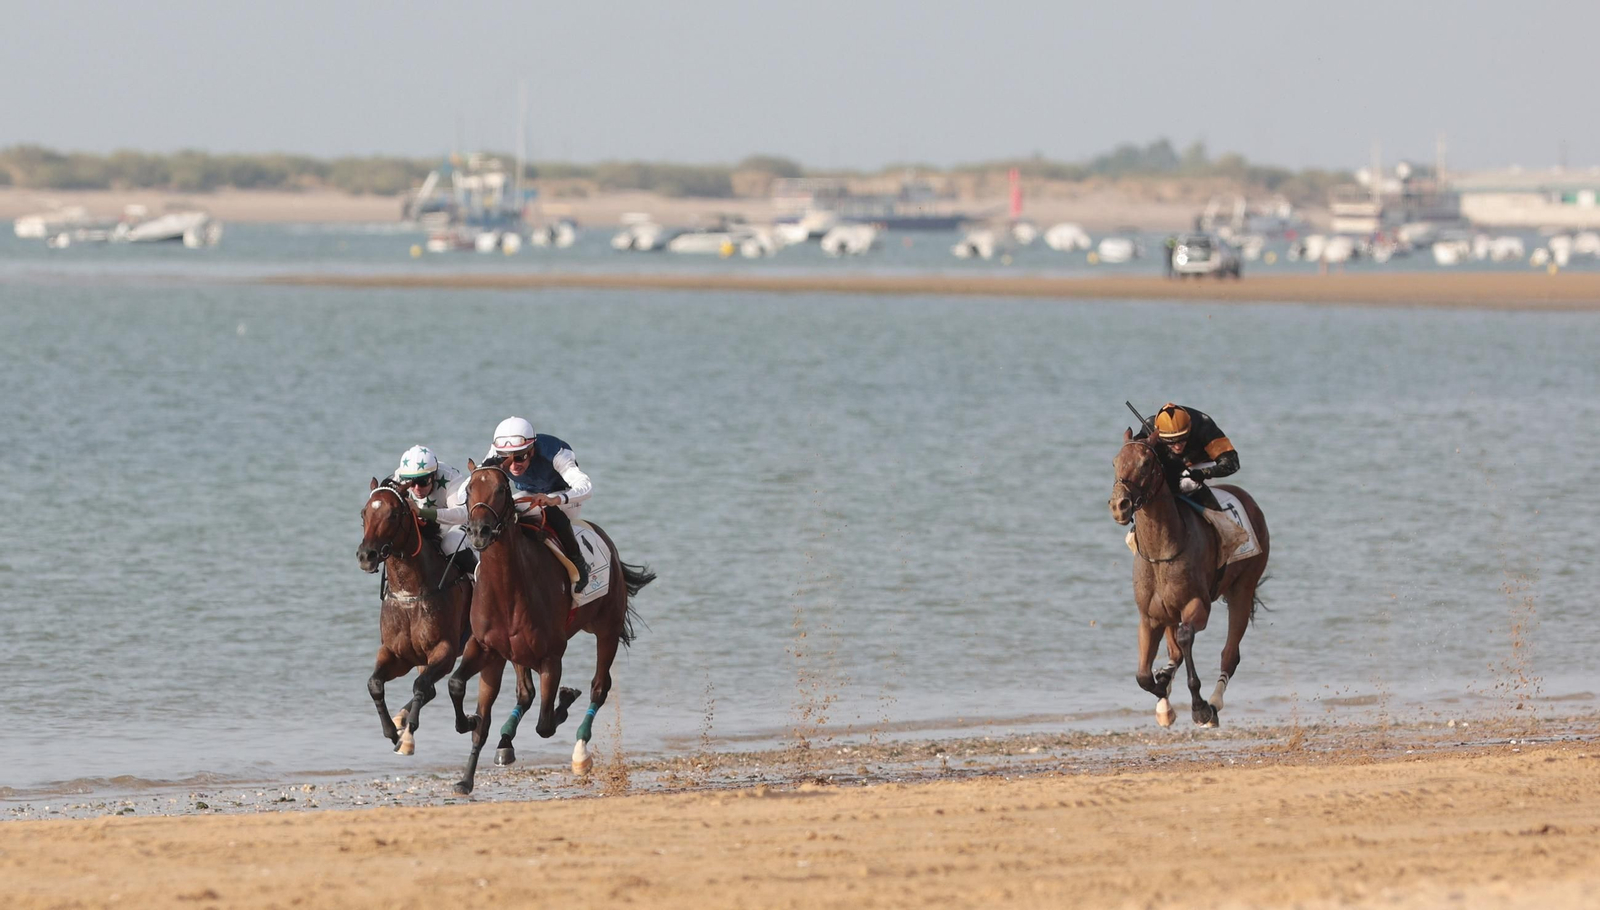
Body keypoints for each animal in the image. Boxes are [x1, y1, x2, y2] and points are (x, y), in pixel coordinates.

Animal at [355, 478, 476, 755]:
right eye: (364, 513)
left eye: (393, 514)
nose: (366, 556)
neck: (410, 593)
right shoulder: (397, 654)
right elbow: (375, 683)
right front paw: (392, 731)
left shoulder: (444, 651)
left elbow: (421, 685)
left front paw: (408, 737)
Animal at [446, 457, 654, 794]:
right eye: (468, 490)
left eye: (501, 489)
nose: (479, 531)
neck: (507, 590)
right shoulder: (487, 649)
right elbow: (460, 691)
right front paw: (466, 772)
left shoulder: (551, 655)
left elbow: (544, 724)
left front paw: (566, 696)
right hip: (518, 652)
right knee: (525, 693)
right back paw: (506, 740)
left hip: (606, 628)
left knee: (599, 687)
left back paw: (580, 751)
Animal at [1108, 429, 1270, 727]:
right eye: (1115, 461)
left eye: (1146, 464)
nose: (1119, 505)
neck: (1162, 552)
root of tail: (1247, 498)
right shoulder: (1150, 617)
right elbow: (1143, 676)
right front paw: (1163, 695)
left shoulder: (1197, 605)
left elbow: (1185, 638)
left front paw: (1199, 707)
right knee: (1174, 653)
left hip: (1243, 588)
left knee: (1229, 654)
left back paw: (1214, 704)